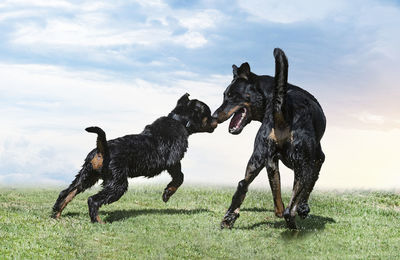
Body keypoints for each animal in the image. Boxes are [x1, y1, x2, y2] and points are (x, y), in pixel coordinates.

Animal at [52, 94, 219, 223]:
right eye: (208, 113)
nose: (216, 119)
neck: (179, 120)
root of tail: (102, 149)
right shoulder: (173, 161)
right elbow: (179, 177)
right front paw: (167, 193)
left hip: (87, 175)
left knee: (66, 193)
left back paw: (56, 215)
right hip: (117, 183)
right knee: (93, 200)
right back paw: (97, 221)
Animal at [212, 48, 324, 230]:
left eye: (231, 95)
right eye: (225, 95)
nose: (214, 116)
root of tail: (282, 108)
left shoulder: (270, 160)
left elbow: (276, 188)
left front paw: (279, 210)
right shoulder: (318, 159)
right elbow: (308, 187)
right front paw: (303, 208)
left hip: (258, 155)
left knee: (242, 184)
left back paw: (229, 218)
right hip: (304, 162)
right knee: (290, 210)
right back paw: (294, 226)